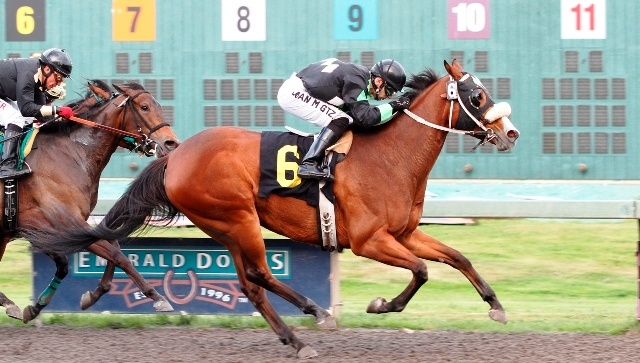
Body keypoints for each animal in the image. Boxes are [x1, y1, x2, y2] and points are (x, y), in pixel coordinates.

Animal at [0, 79, 180, 322]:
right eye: (144, 107)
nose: (171, 143)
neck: (72, 153)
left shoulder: (72, 226)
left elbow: (110, 249)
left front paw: (90, 296)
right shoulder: (57, 224)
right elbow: (117, 255)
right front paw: (158, 297)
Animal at [26, 61, 520, 360]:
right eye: (477, 97)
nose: (510, 132)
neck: (390, 157)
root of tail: (177, 154)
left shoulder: (404, 233)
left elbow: (457, 258)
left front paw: (496, 306)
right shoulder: (369, 240)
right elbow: (421, 271)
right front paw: (383, 305)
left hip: (224, 226)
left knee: (249, 283)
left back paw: (297, 331)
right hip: (239, 217)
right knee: (260, 275)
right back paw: (311, 321)